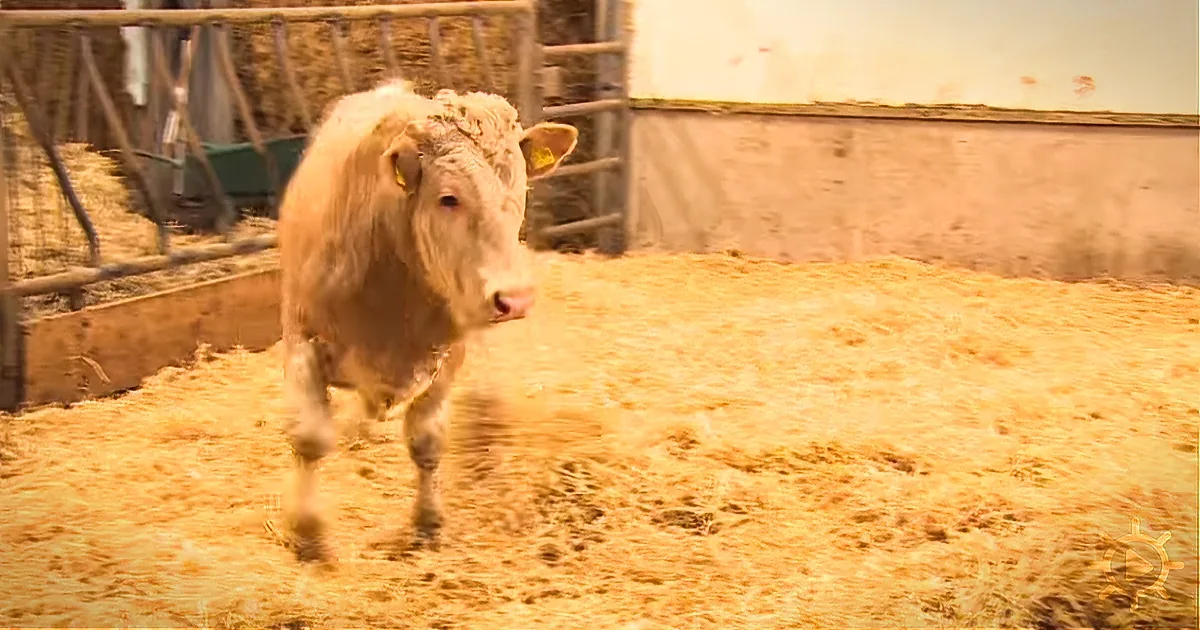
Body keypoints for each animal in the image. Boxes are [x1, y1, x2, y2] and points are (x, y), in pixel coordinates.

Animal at [276, 78, 579, 563]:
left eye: (519, 193)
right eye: (448, 198)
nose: (514, 298)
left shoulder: (449, 352)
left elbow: (427, 441)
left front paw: (429, 523)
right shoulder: (302, 336)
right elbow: (310, 437)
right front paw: (307, 532)